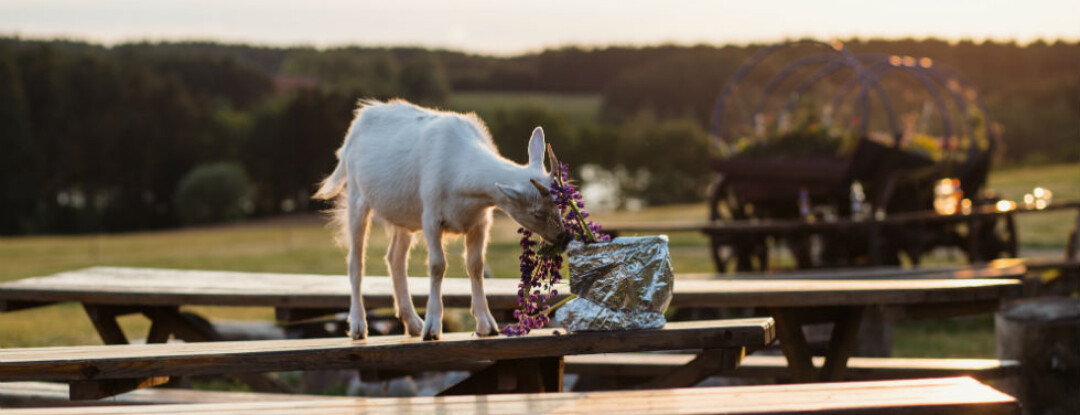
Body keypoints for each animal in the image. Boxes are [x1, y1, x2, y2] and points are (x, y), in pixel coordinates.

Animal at [313, 98, 565, 339]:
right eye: (536, 213)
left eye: (560, 205)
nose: (563, 237)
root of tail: (359, 120)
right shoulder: (431, 217)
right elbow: (437, 265)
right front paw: (433, 328)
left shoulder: (480, 222)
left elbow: (475, 265)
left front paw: (486, 325)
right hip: (357, 197)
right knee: (356, 261)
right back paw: (359, 326)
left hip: (403, 215)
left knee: (395, 258)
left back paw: (413, 324)